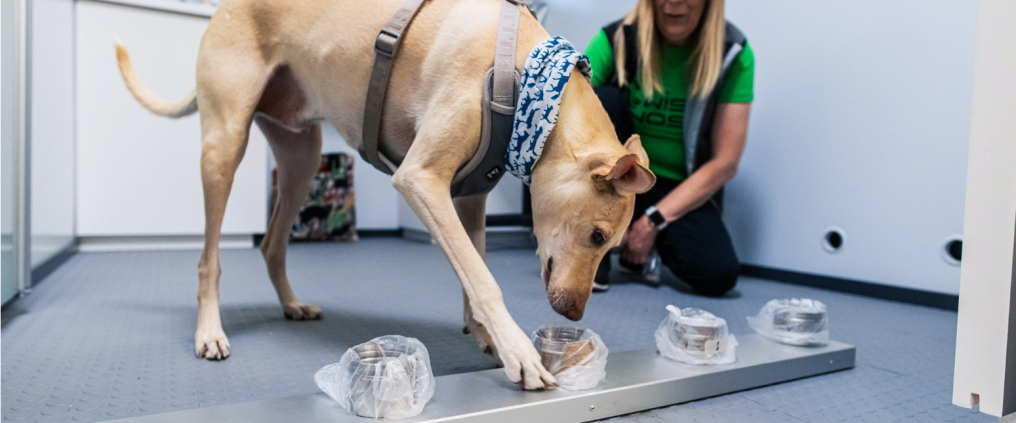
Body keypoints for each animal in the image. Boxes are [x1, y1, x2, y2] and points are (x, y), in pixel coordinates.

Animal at [115, 0, 654, 392]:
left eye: (611, 245)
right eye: (598, 235)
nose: (573, 314)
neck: (530, 83)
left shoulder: (469, 198)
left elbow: (473, 268)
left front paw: (486, 336)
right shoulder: (420, 180)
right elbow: (484, 280)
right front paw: (518, 350)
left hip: (301, 159)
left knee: (271, 245)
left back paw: (292, 304)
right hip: (224, 147)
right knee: (209, 260)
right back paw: (209, 332)